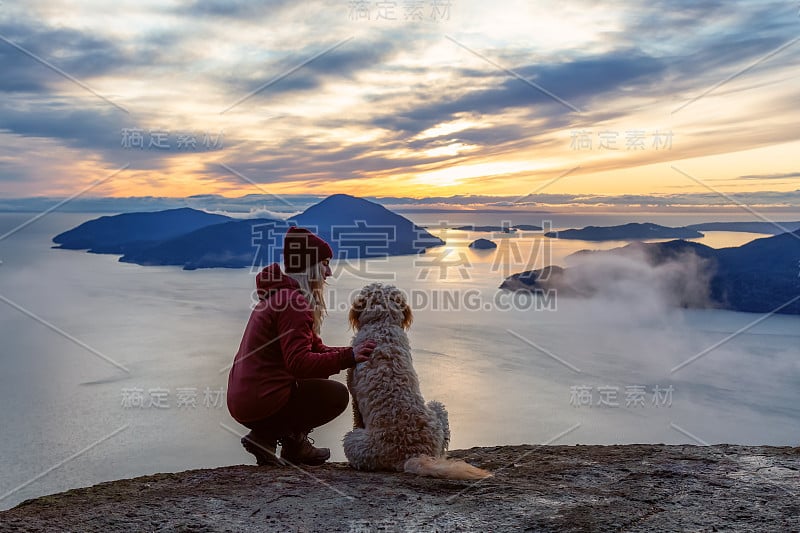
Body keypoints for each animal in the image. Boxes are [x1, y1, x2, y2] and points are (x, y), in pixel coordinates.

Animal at [342, 280, 490, 480]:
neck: (382, 323)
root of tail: (413, 454)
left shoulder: (354, 395)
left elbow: (357, 417)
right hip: (438, 414)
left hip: (353, 441)